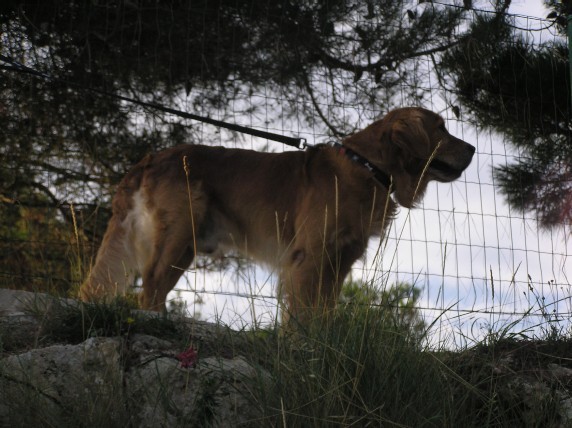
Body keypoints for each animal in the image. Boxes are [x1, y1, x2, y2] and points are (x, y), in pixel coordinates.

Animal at [79, 107, 474, 324]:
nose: (473, 148)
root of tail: (150, 158)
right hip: (180, 233)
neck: (366, 166)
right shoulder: (309, 258)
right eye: (440, 128)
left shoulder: (339, 262)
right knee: (150, 289)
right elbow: (300, 314)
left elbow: (323, 311)